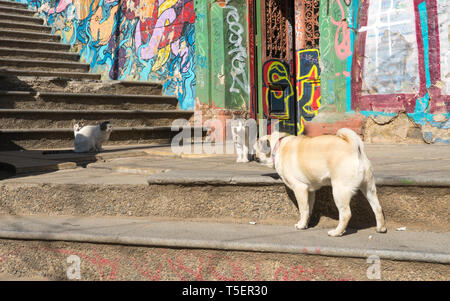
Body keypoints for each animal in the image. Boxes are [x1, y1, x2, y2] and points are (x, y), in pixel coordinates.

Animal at [253, 127, 386, 236]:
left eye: (256, 149)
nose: (253, 156)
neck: (278, 146)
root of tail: (353, 148)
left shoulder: (300, 188)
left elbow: (303, 209)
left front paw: (301, 225)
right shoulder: (310, 191)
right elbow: (309, 209)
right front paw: (305, 224)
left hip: (339, 191)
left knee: (346, 214)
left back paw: (337, 232)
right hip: (368, 187)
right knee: (377, 208)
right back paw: (381, 228)